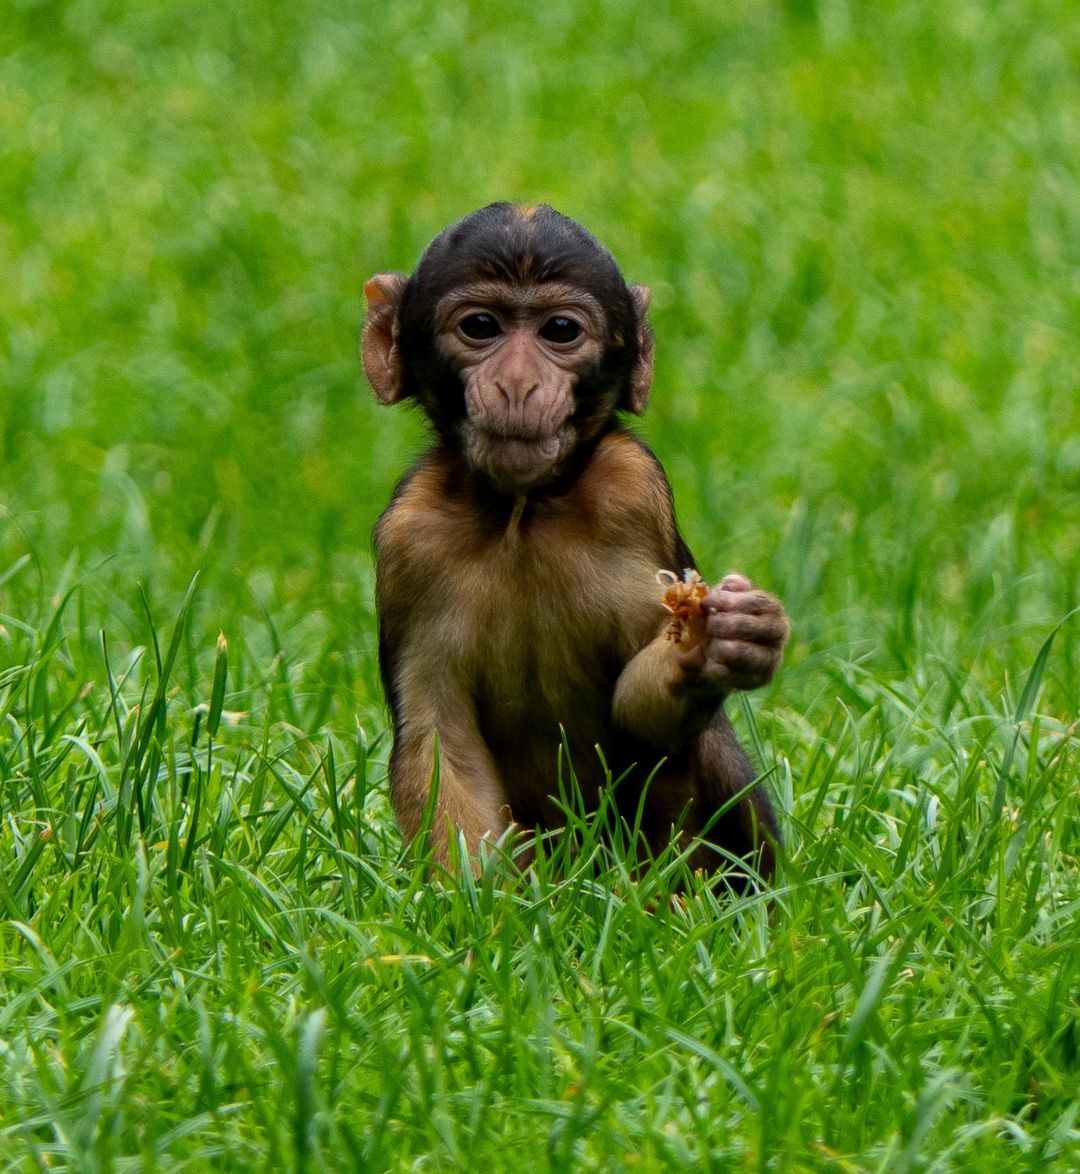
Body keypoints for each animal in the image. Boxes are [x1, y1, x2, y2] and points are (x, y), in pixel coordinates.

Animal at [362, 202, 789, 883]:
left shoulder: (634, 493)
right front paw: (478, 906)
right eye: (480, 327)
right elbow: (439, 743)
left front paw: (711, 645)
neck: (523, 513)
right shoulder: (410, 537)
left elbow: (641, 719)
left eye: (560, 330)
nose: (516, 385)